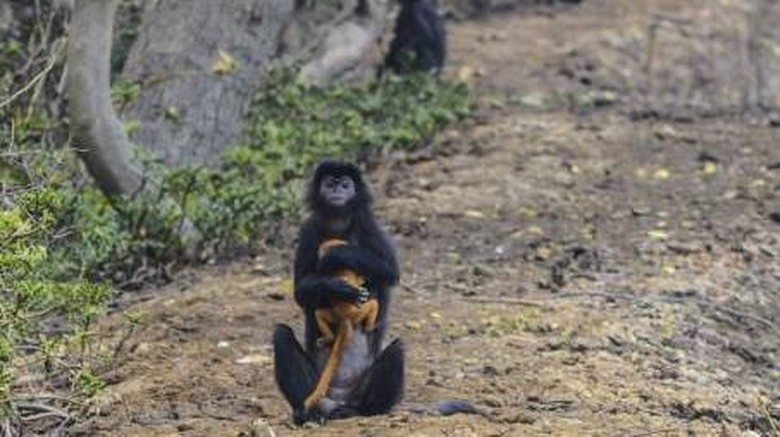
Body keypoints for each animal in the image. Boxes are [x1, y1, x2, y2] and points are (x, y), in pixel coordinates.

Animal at [272, 159, 406, 422]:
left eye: (345, 183)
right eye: (329, 183)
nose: (337, 190)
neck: (338, 223)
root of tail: (339, 402)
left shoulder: (367, 222)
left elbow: (390, 269)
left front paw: (335, 255)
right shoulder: (309, 228)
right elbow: (300, 292)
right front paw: (336, 287)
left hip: (360, 391)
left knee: (398, 348)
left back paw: (364, 411)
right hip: (316, 385)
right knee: (281, 334)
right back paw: (308, 414)